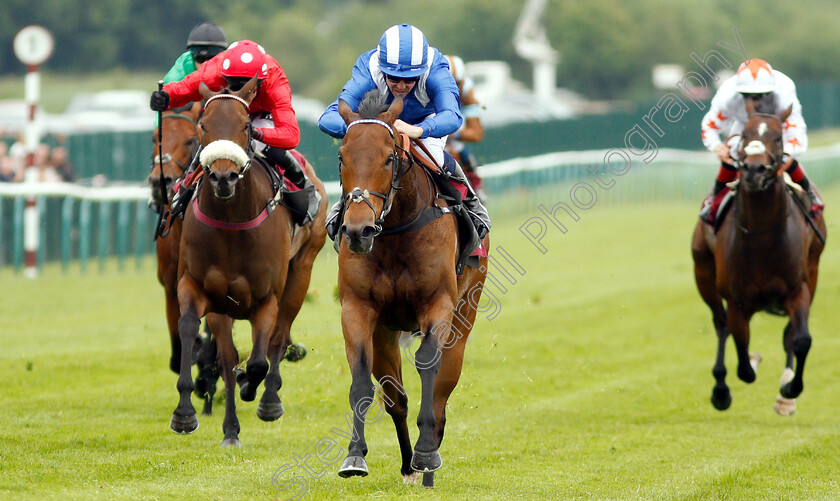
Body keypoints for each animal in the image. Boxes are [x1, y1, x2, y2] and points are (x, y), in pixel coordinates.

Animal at [171, 78, 328, 446]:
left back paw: (269, 398)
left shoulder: (266, 297)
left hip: (301, 271)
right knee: (229, 356)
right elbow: (195, 333)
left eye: (245, 126)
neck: (231, 221)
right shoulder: (202, 289)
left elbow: (259, 359)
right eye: (203, 125)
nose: (223, 177)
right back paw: (230, 426)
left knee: (278, 339)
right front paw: (187, 413)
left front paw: (255, 389)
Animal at [334, 90, 486, 484]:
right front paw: (355, 456)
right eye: (341, 157)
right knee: (396, 397)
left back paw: (426, 458)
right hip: (386, 333)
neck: (396, 230)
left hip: (464, 319)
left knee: (442, 391)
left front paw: (427, 454)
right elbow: (361, 377)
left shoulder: (438, 305)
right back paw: (408, 464)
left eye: (389, 157)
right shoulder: (358, 309)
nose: (358, 230)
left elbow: (428, 366)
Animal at [688, 100, 828, 414]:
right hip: (703, 274)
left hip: (813, 270)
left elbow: (801, 339)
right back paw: (721, 388)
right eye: (745, 135)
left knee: (789, 332)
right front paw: (746, 366)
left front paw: (790, 389)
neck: (762, 236)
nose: (753, 170)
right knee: (721, 325)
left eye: (777, 137)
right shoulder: (737, 299)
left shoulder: (797, 288)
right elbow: (742, 357)